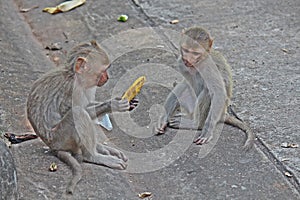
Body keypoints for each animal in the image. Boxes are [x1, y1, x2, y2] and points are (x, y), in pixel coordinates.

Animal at [26, 39, 138, 195]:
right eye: (103, 70)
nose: (107, 77)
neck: (75, 76)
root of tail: (53, 146)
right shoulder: (73, 89)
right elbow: (77, 110)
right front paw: (113, 105)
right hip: (61, 138)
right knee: (78, 114)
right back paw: (93, 156)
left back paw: (99, 149)